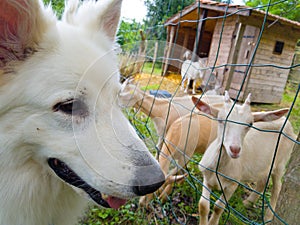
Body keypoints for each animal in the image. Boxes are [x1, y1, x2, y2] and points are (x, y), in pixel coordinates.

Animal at [195, 91, 296, 225]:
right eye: (221, 120)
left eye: (250, 124)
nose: (235, 149)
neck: (220, 168)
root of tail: (286, 121)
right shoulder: (207, 177)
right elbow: (203, 205)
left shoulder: (232, 184)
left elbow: (218, 207)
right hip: (264, 164)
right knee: (263, 181)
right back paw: (248, 202)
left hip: (281, 162)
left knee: (277, 186)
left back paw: (268, 216)